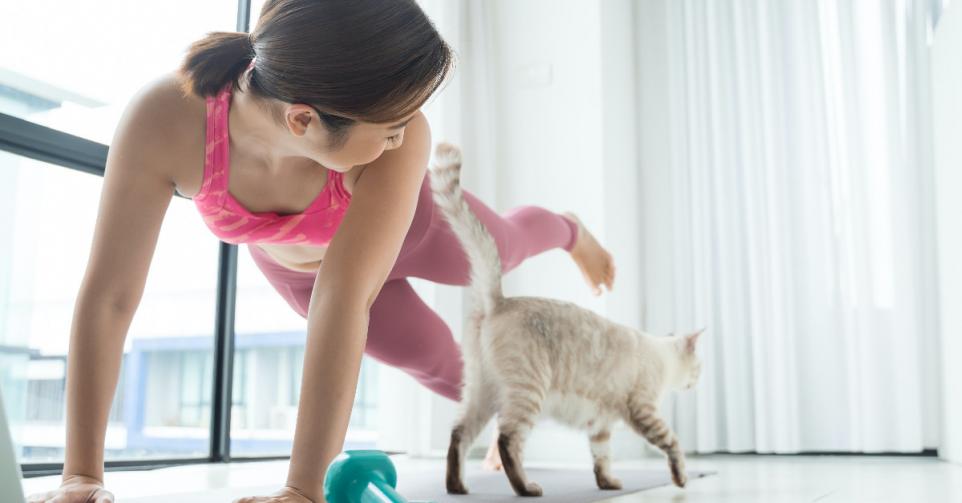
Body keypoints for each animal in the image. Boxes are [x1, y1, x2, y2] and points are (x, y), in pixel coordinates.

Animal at [432, 144, 700, 498]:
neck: (660, 354)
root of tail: (498, 301)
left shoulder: (600, 426)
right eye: (699, 368)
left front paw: (608, 484)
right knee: (507, 440)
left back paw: (457, 487)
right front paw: (681, 479)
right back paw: (527, 488)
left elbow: (601, 458)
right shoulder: (644, 411)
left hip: (481, 392)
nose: (697, 381)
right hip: (528, 393)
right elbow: (673, 445)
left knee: (458, 435)